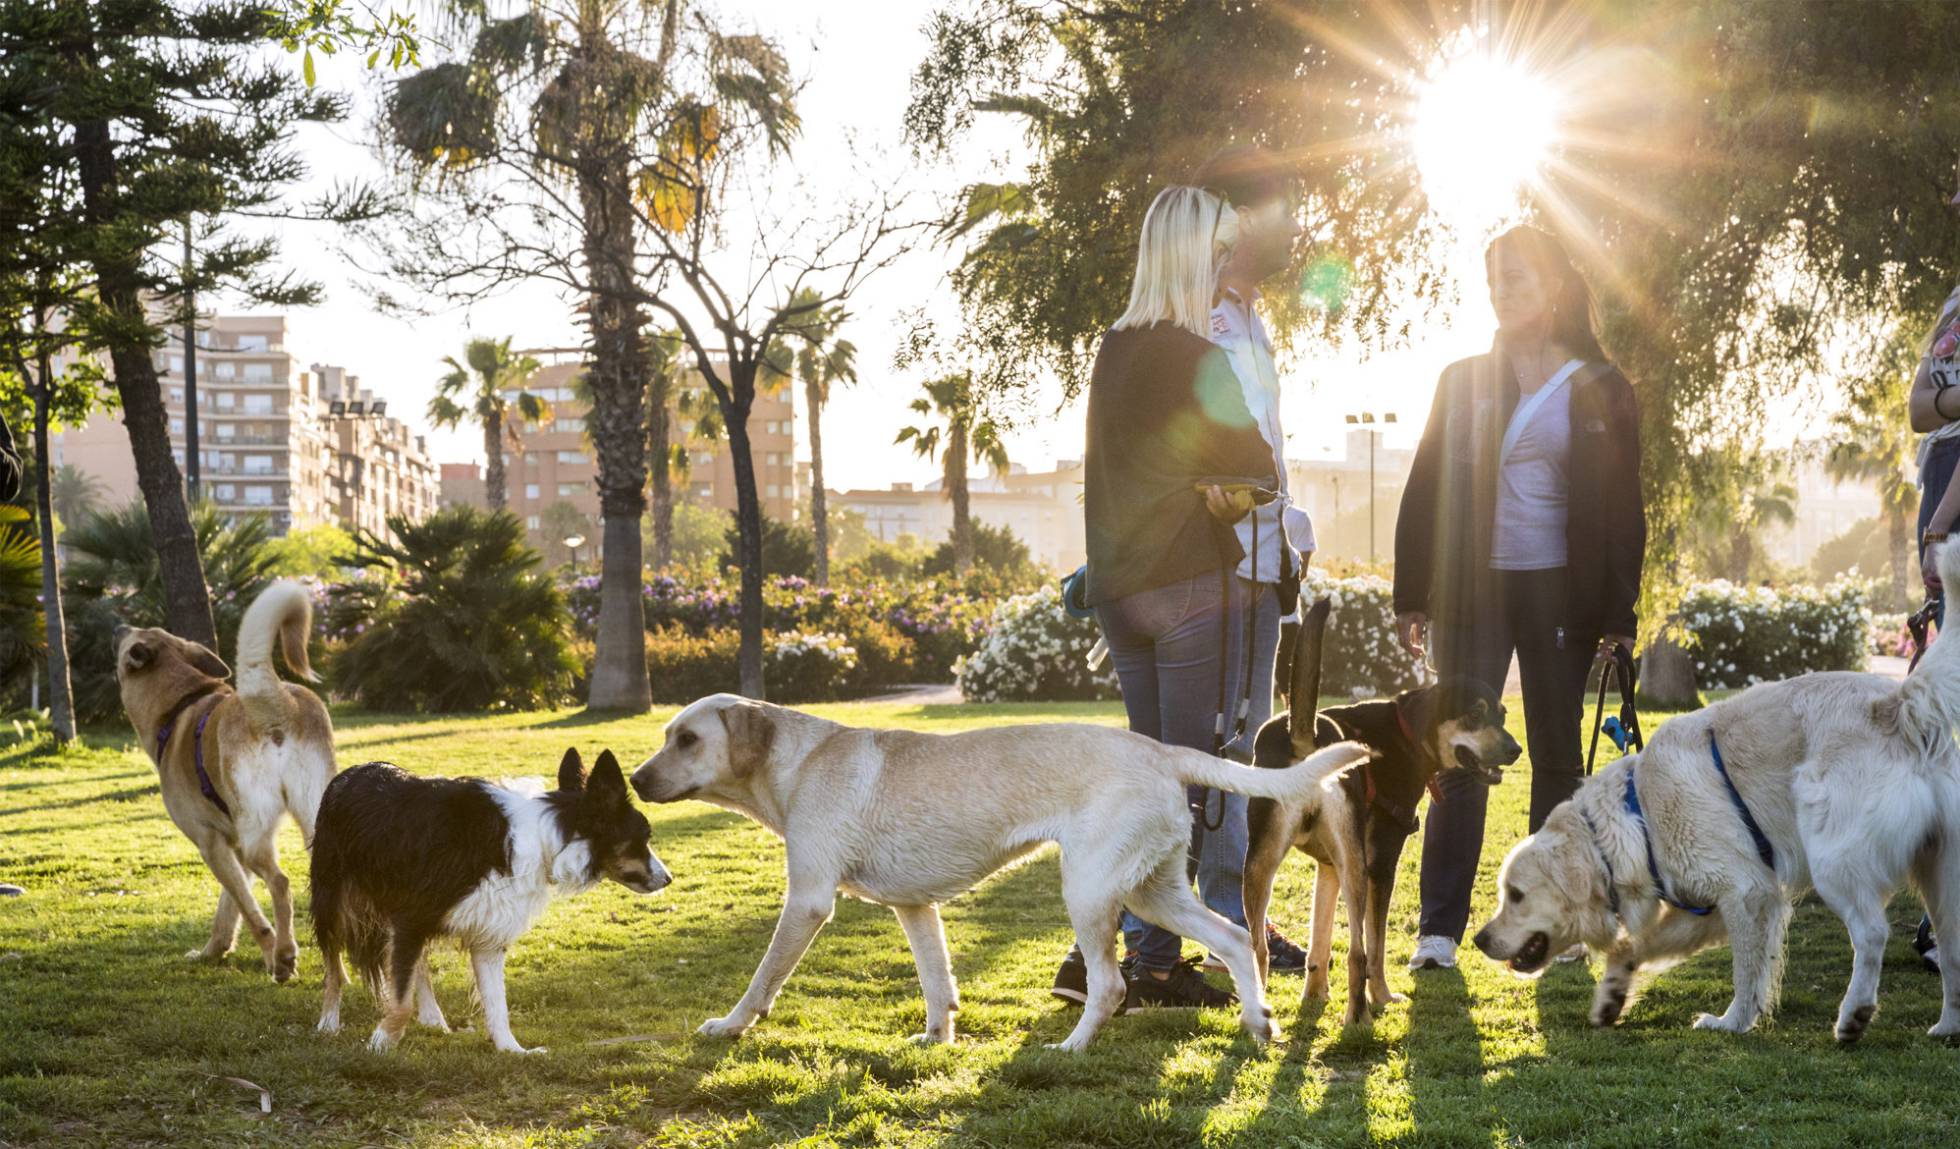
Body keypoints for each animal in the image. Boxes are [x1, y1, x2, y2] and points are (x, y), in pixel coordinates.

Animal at [113, 580, 335, 976]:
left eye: (132, 635)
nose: (117, 626)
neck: (178, 703)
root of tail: (272, 697)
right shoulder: (230, 845)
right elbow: (229, 908)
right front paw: (213, 951)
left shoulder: (210, 842)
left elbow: (249, 910)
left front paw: (272, 956)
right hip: (314, 815)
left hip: (256, 835)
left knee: (280, 883)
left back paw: (284, 956)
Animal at [627, 698, 1364, 1043]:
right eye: (665, 735)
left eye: (687, 738)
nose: (633, 779)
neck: (797, 762)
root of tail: (1160, 750)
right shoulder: (914, 908)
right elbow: (937, 983)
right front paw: (935, 1038)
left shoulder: (808, 901)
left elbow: (762, 980)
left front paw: (730, 1025)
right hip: (1152, 893)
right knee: (1239, 939)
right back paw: (1258, 1021)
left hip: (1091, 892)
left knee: (1109, 984)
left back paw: (1071, 1049)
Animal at [1238, 596, 1513, 1027]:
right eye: (1474, 714)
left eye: (1501, 715)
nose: (1516, 750)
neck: (1408, 733)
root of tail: (1306, 735)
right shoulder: (1380, 864)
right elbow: (1376, 948)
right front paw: (1381, 996)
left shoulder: (1328, 866)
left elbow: (1319, 943)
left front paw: (1314, 997)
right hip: (1356, 866)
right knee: (1358, 951)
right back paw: (1360, 1018)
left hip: (1263, 862)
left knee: (1258, 950)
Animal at [1473, 545, 1960, 1035]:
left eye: (1516, 895)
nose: (1478, 939)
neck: (1637, 816)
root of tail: (1897, 702)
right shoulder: (1701, 905)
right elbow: (1637, 944)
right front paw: (1610, 996)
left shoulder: (1747, 891)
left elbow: (1747, 971)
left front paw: (1734, 1021)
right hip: (1940, 873)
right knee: (1953, 949)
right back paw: (1947, 1027)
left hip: (1835, 861)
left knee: (1873, 933)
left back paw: (1854, 1015)